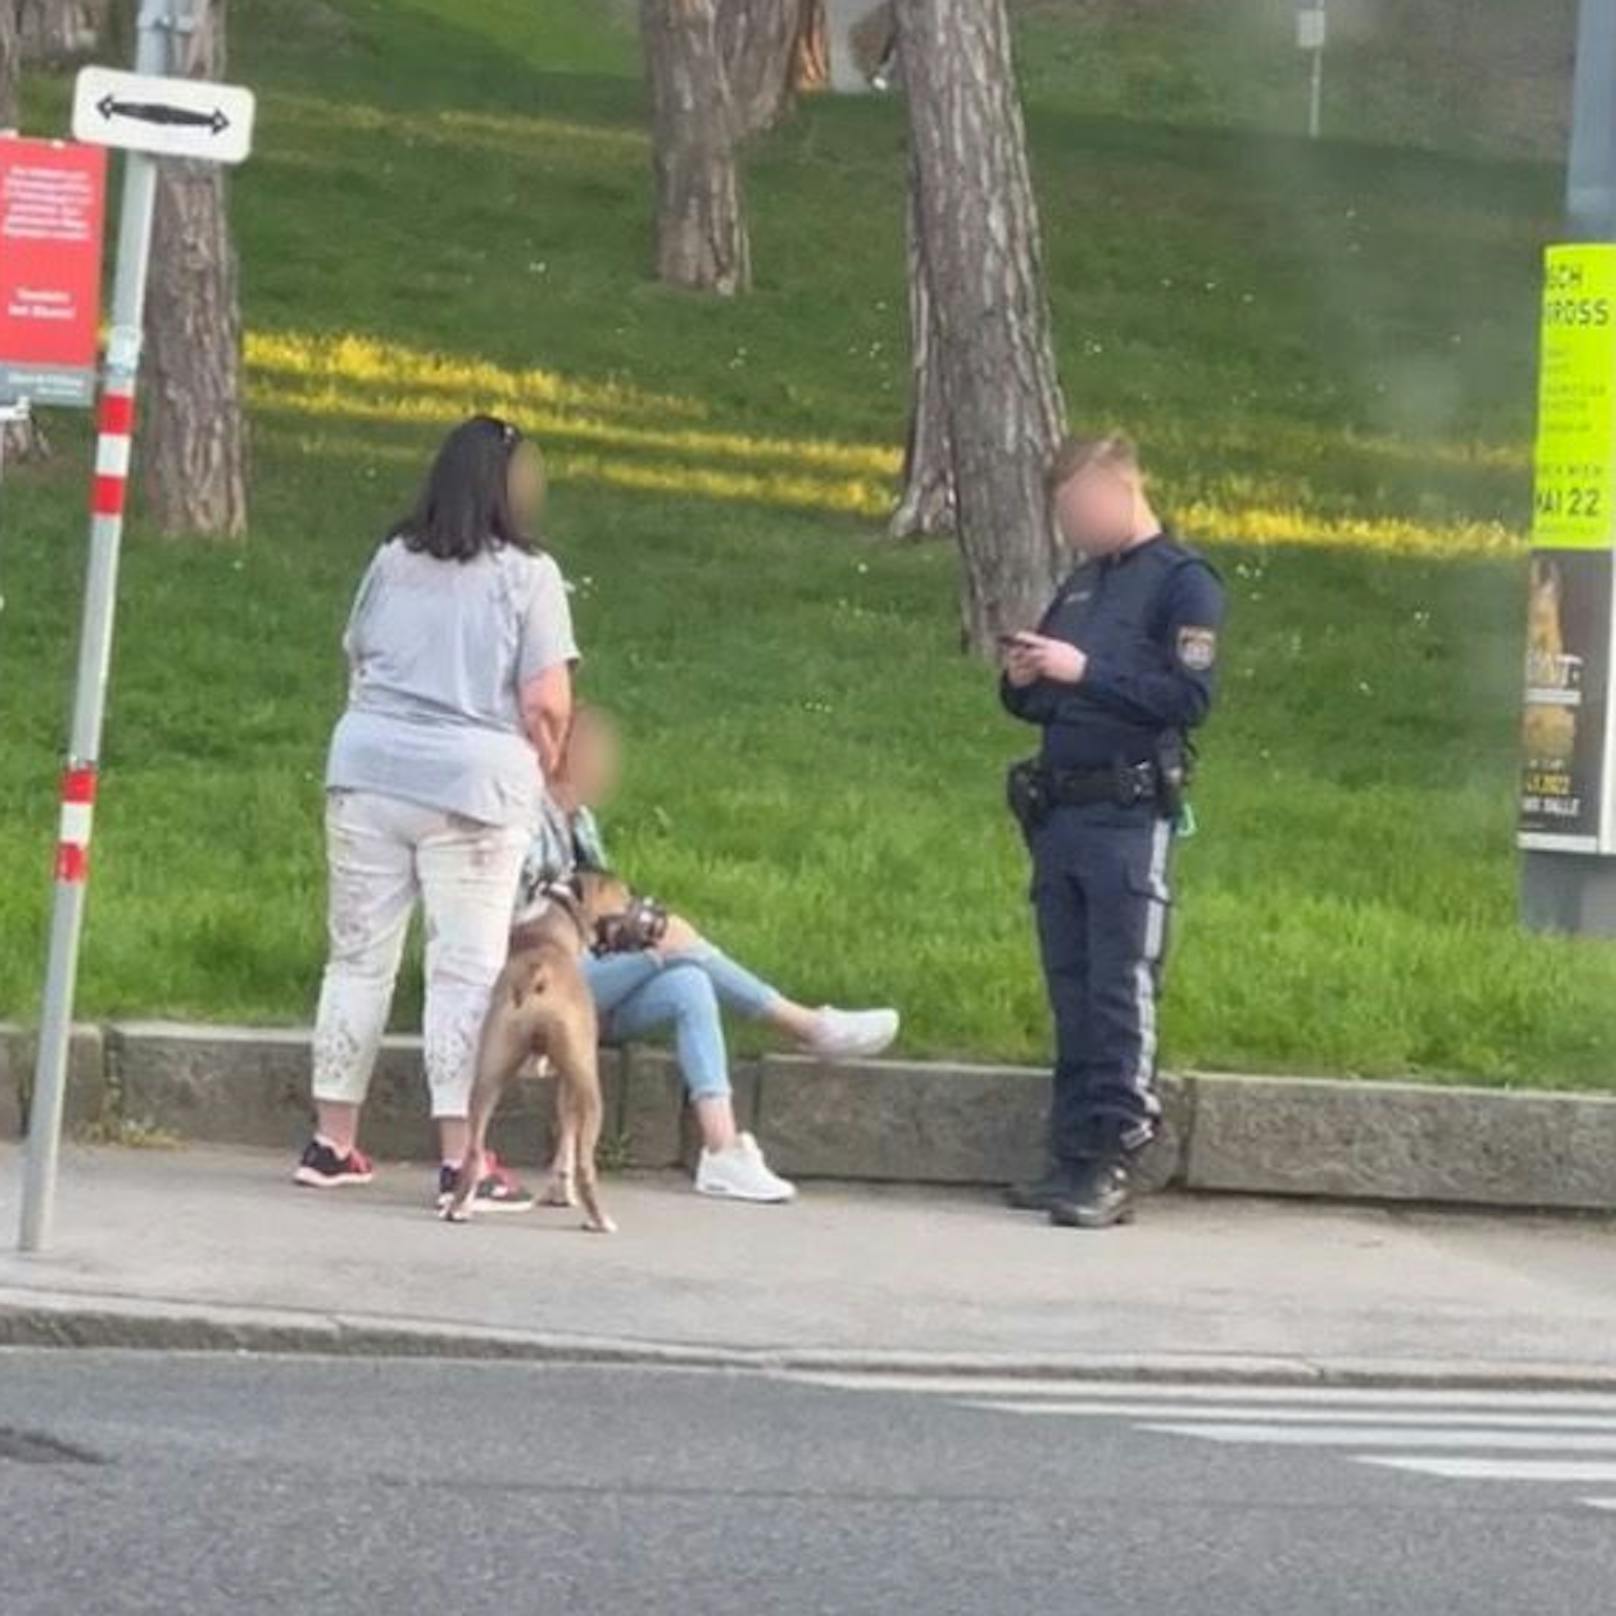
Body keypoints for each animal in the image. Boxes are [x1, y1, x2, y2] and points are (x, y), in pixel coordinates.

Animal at [452, 879, 639, 1228]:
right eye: (625, 898)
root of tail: (538, 972)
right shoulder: (569, 1084)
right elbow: (566, 1144)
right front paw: (562, 1195)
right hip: (588, 1088)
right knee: (585, 1163)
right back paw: (599, 1221)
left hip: (489, 1073)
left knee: (473, 1148)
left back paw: (458, 1208)